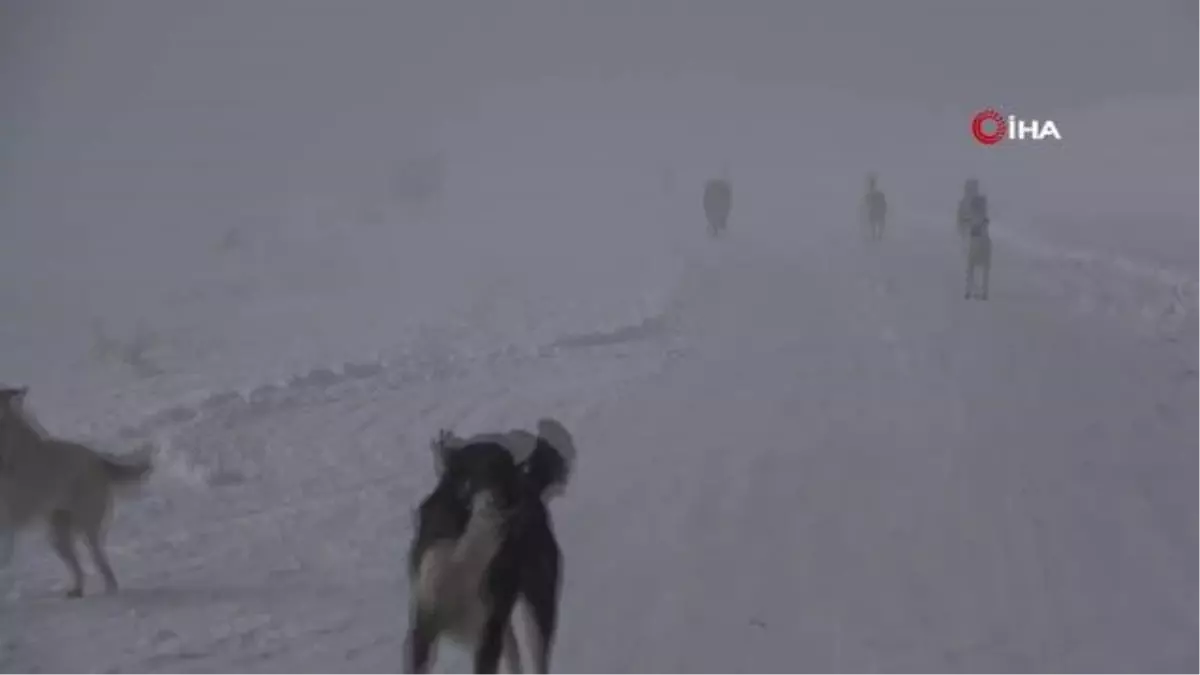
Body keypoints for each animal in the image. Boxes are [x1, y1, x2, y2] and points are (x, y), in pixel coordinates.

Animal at [0, 384, 154, 593]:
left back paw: (109, 590)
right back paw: (77, 591)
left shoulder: (10, 514)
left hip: (85, 528)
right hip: (59, 534)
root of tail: (99, 460)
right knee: (79, 567)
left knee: (100, 563)